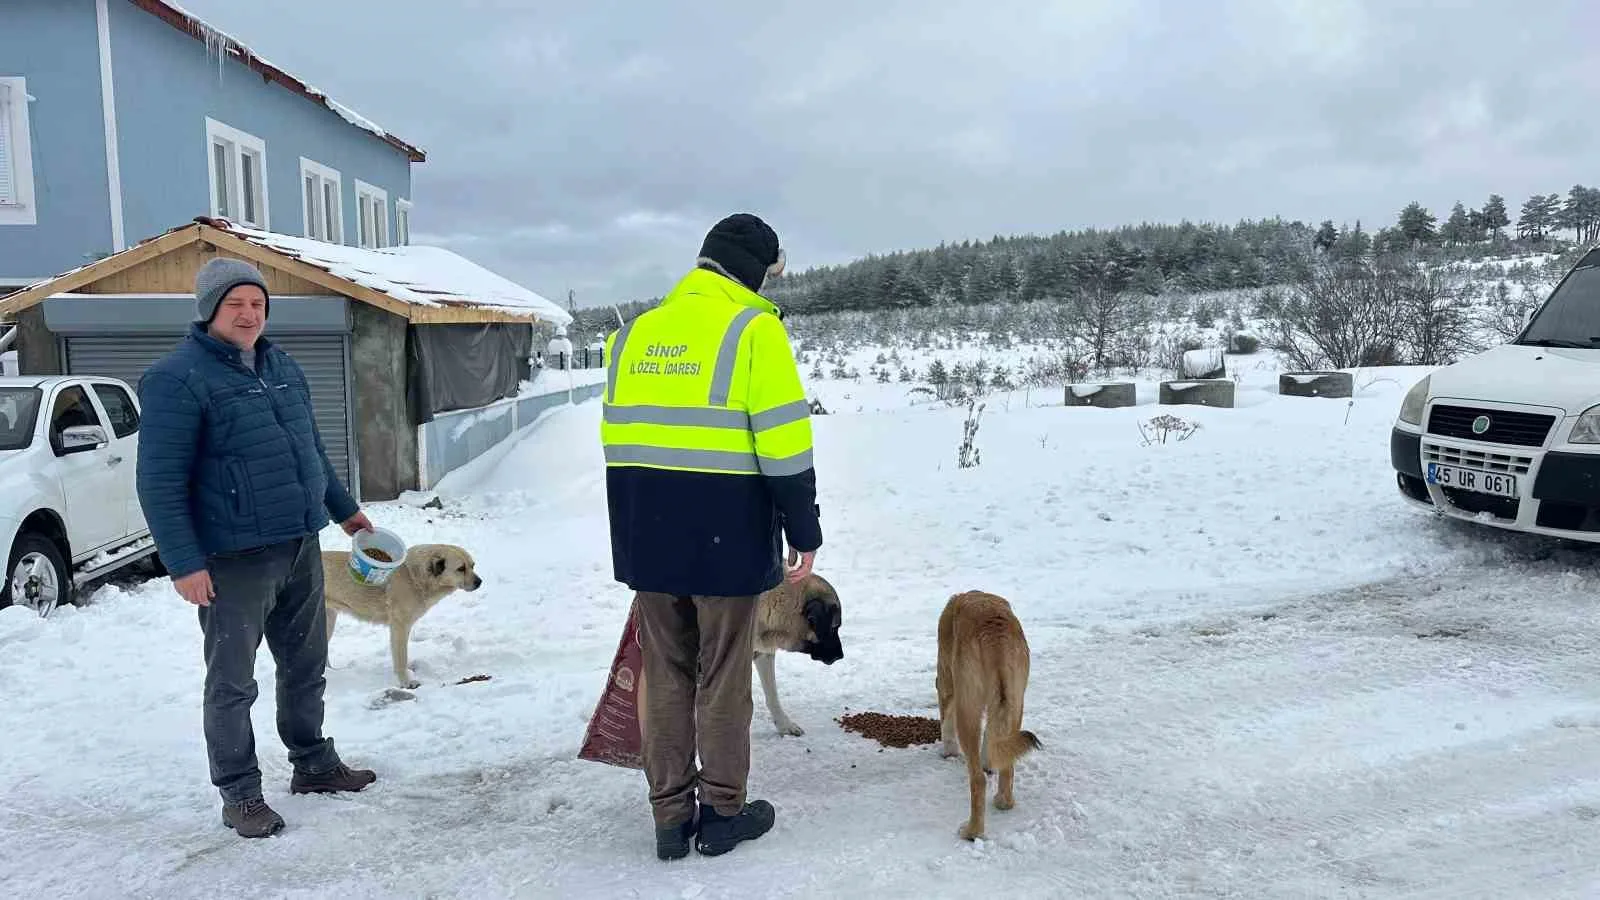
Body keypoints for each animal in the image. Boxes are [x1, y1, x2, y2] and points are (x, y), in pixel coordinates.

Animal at [318, 538, 480, 685]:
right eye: (461, 568)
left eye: (472, 565)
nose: (480, 582)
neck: (414, 576)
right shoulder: (400, 625)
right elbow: (401, 657)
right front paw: (406, 682)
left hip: (328, 621)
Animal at [934, 589, 1043, 839]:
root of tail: (995, 636)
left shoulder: (947, 680)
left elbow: (946, 721)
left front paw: (948, 751)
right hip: (1015, 701)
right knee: (1008, 764)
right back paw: (1004, 801)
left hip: (967, 708)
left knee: (978, 780)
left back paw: (971, 831)